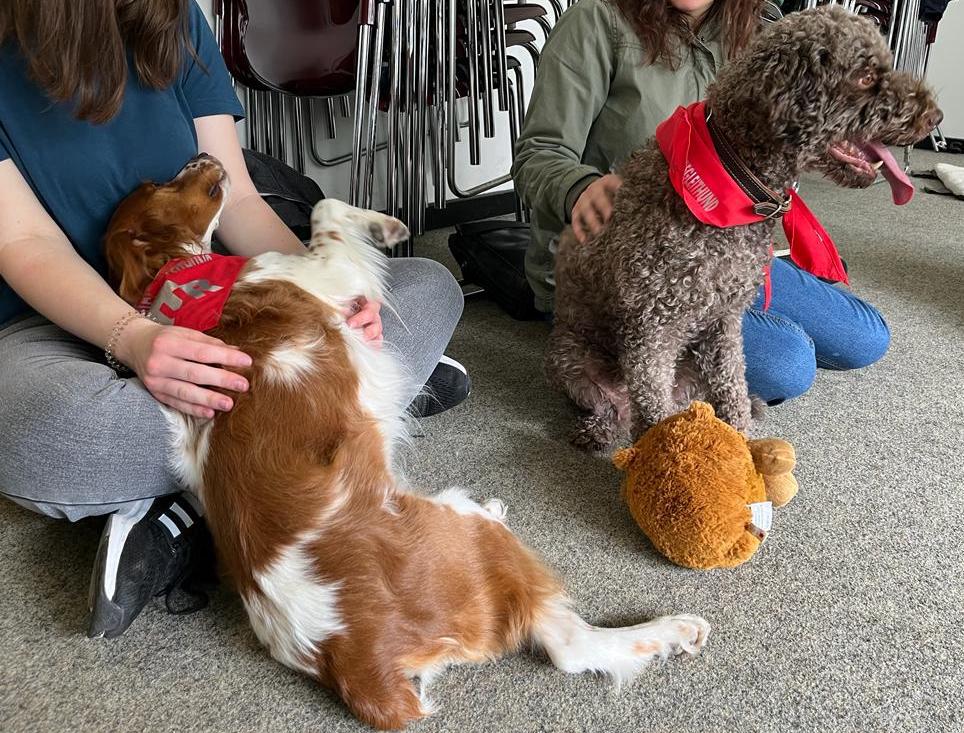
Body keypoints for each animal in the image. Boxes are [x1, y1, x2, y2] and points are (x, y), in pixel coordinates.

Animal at [105, 156, 712, 732]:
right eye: (160, 185)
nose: (205, 155)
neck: (184, 282)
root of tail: (352, 662)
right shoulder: (324, 272)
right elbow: (326, 207)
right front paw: (388, 224)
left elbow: (324, 208)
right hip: (478, 546)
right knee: (571, 646)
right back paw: (674, 628)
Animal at [548, 7, 940, 452]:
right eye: (865, 77)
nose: (936, 116)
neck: (735, 174)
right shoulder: (651, 329)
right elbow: (654, 411)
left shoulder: (725, 323)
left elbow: (732, 389)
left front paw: (740, 441)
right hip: (570, 357)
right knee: (619, 408)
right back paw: (600, 428)